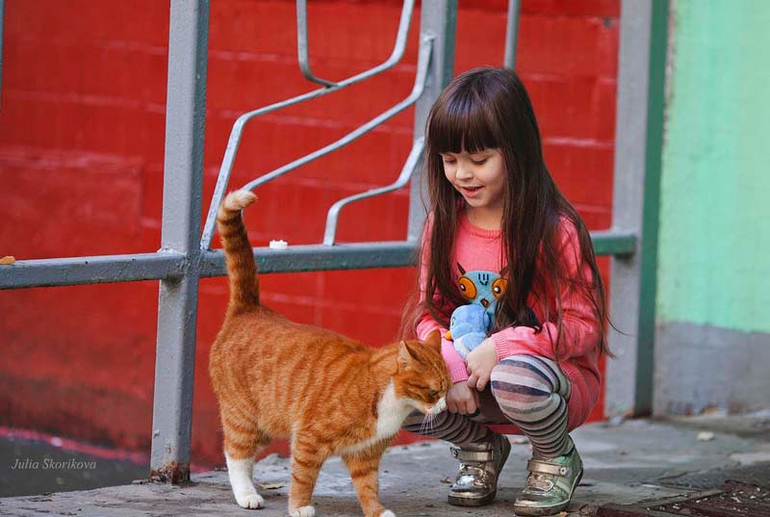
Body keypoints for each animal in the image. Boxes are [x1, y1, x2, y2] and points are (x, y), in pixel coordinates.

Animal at [209, 190, 450, 517]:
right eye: (433, 392)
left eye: (447, 390)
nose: (444, 407)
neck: (390, 399)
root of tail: (249, 310)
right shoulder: (309, 440)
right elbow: (303, 477)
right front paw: (300, 507)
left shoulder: (365, 455)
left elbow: (368, 487)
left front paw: (377, 511)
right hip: (244, 417)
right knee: (235, 454)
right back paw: (246, 494)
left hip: (266, 424)